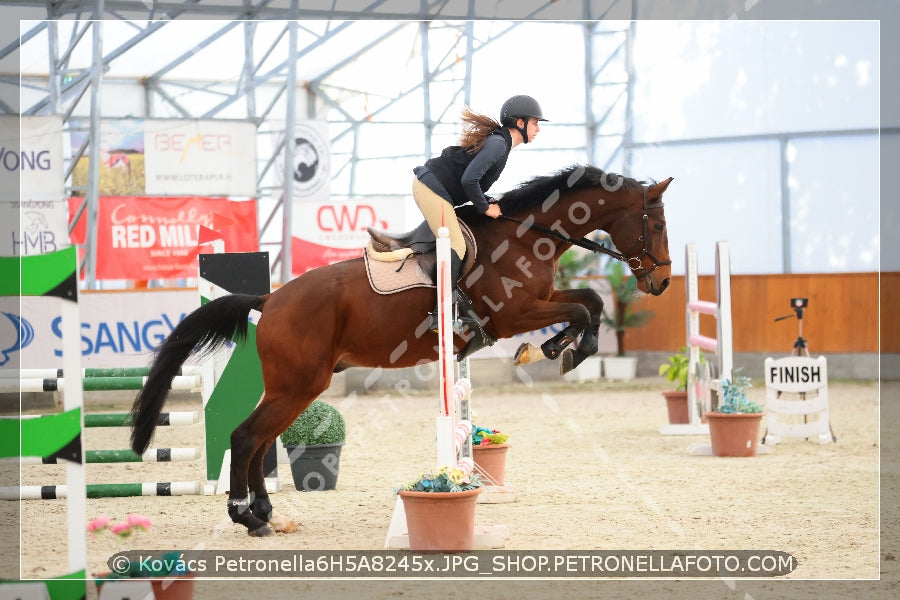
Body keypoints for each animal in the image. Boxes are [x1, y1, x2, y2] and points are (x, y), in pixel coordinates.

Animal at [130, 163, 672, 536]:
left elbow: (589, 301)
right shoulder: (514, 314)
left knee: (260, 441)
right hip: (300, 385)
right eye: (658, 224)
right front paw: (560, 350)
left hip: (296, 388)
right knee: (246, 438)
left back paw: (267, 514)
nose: (663, 283)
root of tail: (271, 299)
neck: (525, 236)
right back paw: (249, 518)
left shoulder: (539, 300)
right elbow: (581, 310)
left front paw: (554, 349)